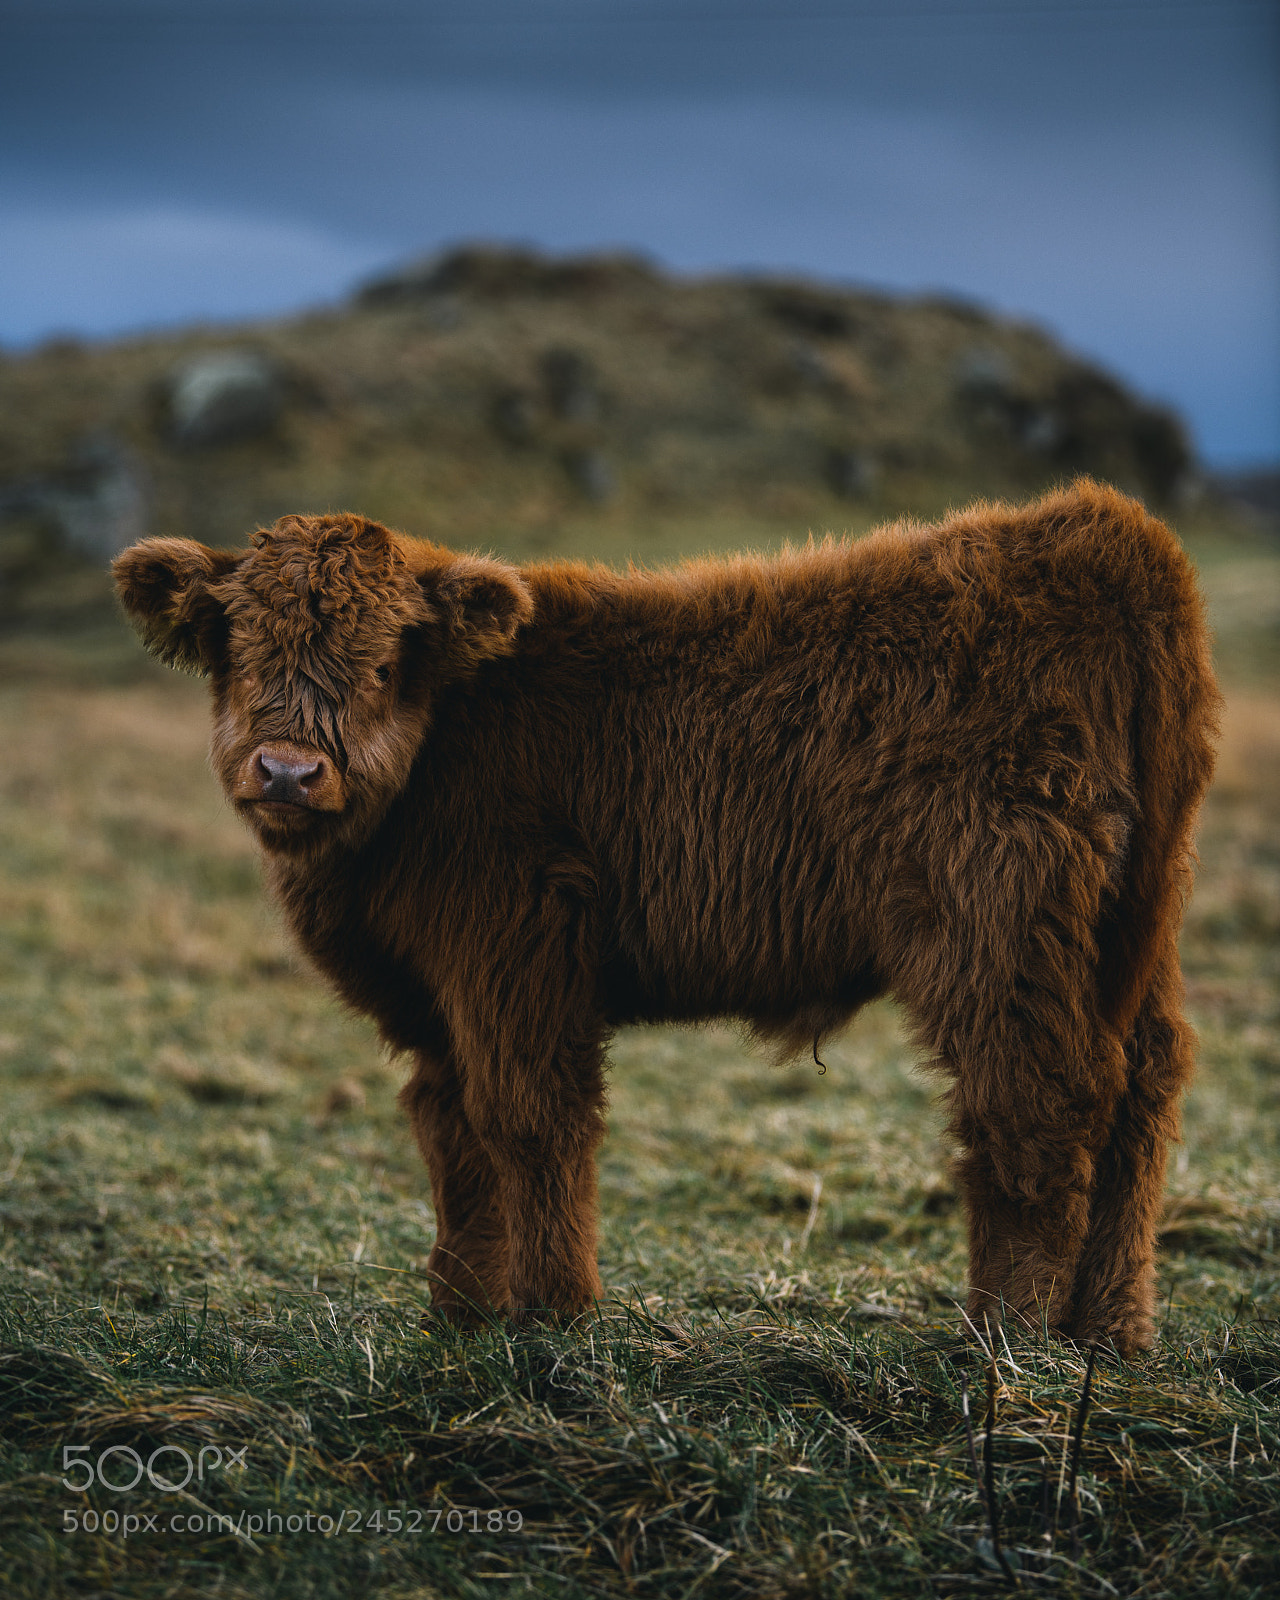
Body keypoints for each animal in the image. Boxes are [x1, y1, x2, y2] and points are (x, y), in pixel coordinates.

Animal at [114, 480, 1218, 1356]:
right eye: (234, 648)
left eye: (385, 661)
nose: (288, 770)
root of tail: (1094, 529)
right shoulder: (435, 997)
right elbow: (451, 1132)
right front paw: (457, 1316)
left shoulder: (516, 949)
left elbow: (531, 1120)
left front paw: (550, 1316)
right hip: (1131, 934)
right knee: (1144, 1091)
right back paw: (1109, 1333)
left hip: (998, 930)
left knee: (1038, 1104)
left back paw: (1005, 1341)